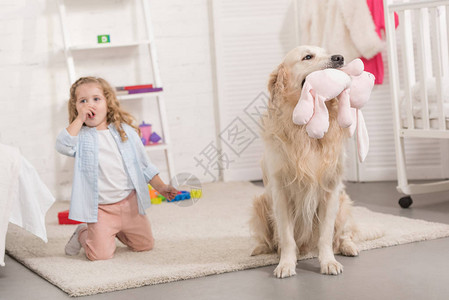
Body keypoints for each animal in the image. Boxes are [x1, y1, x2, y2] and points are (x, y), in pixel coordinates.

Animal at [250, 45, 376, 278]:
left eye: (326, 51)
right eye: (307, 57)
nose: (339, 58)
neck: (305, 130)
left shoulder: (330, 191)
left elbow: (326, 235)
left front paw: (328, 262)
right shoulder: (280, 192)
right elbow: (287, 236)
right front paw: (286, 264)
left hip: (343, 203)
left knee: (343, 235)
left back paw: (349, 247)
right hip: (260, 202)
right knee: (268, 239)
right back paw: (261, 249)